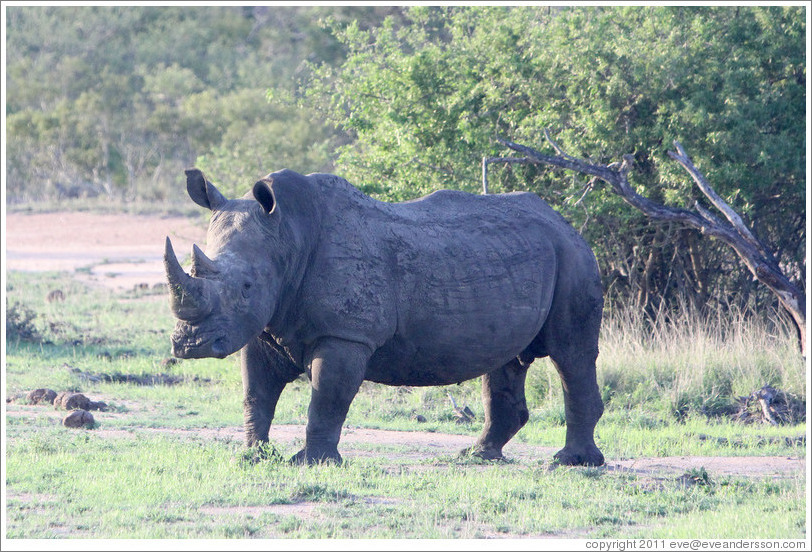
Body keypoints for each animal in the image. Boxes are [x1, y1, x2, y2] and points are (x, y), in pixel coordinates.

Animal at [165, 168, 605, 466]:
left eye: (246, 286)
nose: (190, 344)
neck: (287, 235)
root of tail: (566, 223)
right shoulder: (263, 328)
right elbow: (256, 394)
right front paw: (254, 456)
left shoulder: (346, 333)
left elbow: (327, 397)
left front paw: (312, 463)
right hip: (520, 258)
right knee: (506, 360)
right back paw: (477, 456)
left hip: (574, 259)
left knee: (571, 354)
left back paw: (571, 462)